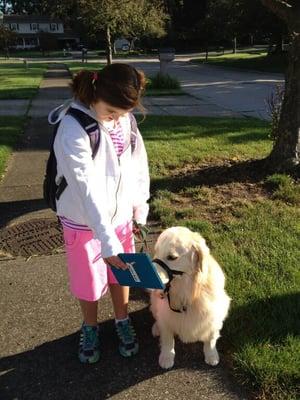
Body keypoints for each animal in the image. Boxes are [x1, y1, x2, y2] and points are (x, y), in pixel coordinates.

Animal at [151, 227, 231, 370]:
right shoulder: (166, 316)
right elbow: (167, 339)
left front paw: (211, 355)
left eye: (172, 257)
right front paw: (166, 357)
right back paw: (156, 328)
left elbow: (211, 338)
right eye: (156, 252)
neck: (187, 291)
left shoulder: (214, 314)